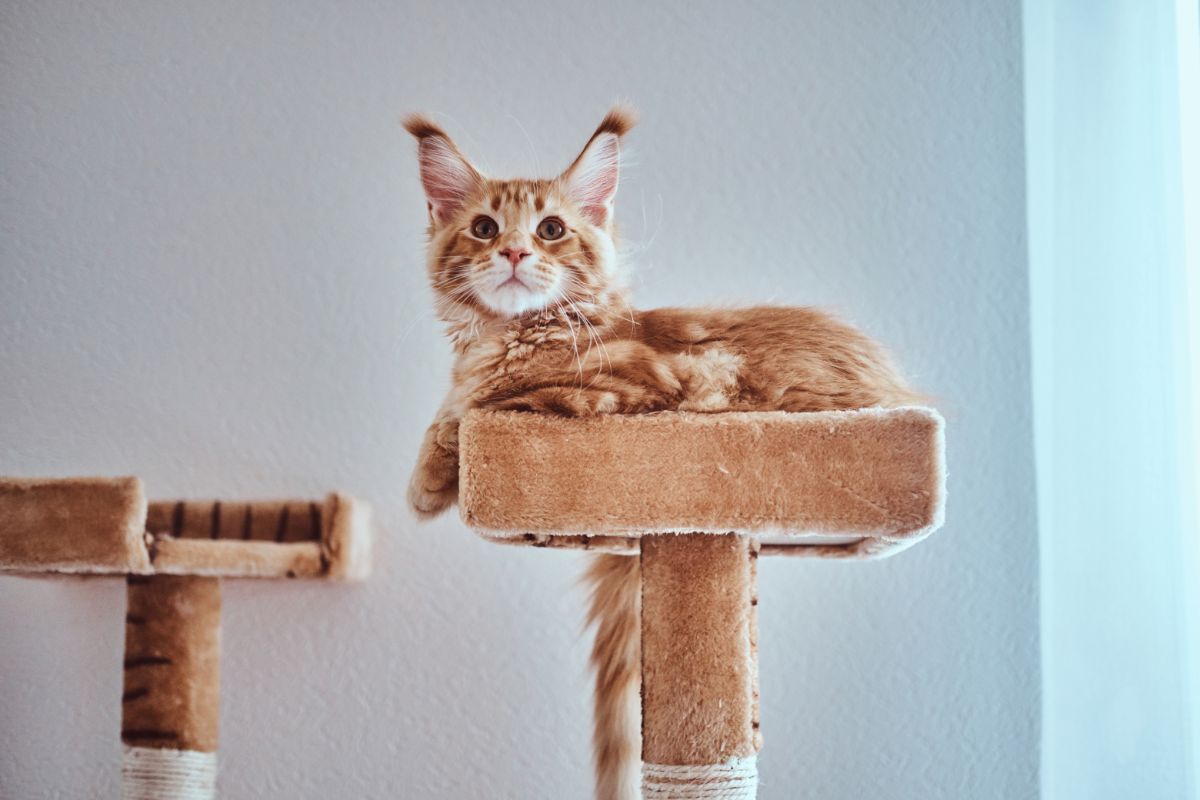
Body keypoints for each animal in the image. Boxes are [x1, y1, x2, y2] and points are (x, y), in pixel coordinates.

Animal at [403, 106, 916, 800]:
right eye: (484, 228)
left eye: (550, 229)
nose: (513, 252)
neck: (509, 335)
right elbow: (454, 407)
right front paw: (425, 477)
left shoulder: (622, 389)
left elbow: (485, 407)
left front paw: (434, 475)